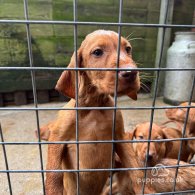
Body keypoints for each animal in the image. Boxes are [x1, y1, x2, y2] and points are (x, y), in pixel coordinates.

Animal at [45, 30, 154, 195]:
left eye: (128, 49)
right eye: (97, 52)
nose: (131, 72)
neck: (94, 105)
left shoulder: (120, 137)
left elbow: (135, 168)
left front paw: (145, 190)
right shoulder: (57, 138)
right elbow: (54, 173)